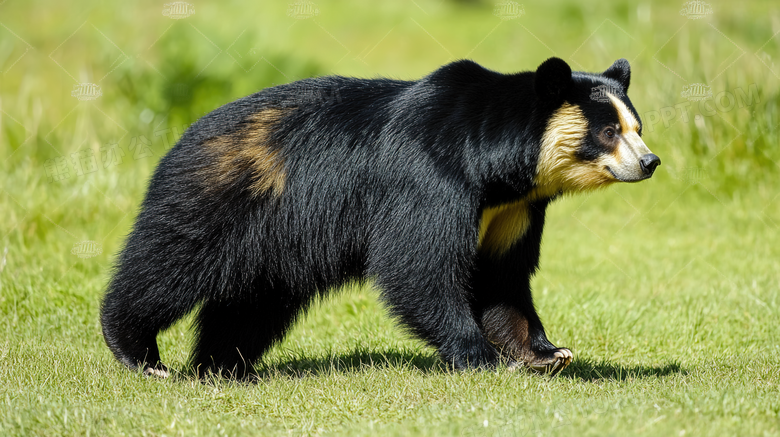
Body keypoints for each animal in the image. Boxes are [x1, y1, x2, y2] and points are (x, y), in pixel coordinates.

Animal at [99, 57, 660, 378]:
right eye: (608, 131)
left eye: (636, 126)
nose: (650, 162)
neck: (497, 170)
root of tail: (182, 135)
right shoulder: (427, 176)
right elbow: (418, 265)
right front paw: (477, 355)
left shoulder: (513, 209)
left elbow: (501, 278)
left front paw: (547, 352)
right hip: (222, 194)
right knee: (169, 264)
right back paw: (140, 353)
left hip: (273, 239)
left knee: (253, 301)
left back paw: (222, 366)